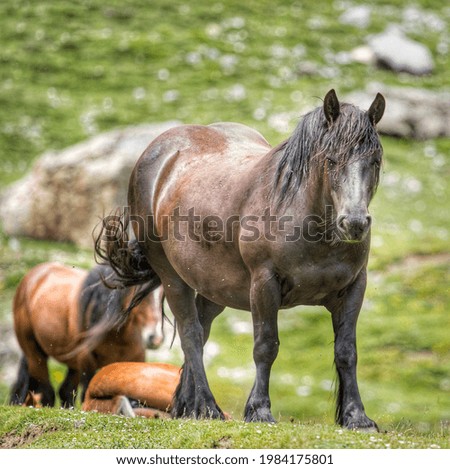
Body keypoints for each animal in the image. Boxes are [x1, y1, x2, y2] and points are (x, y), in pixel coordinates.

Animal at [9, 262, 164, 408]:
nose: (155, 338)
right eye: (141, 293)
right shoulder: (86, 359)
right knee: (48, 392)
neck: (118, 335)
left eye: (163, 297)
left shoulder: (135, 361)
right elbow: (86, 394)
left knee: (65, 390)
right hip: (35, 356)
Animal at [96, 89, 384, 430]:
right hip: (173, 278)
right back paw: (208, 407)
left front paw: (357, 416)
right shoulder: (264, 284)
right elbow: (265, 346)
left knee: (202, 331)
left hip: (214, 288)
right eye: (331, 160)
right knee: (191, 335)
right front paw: (259, 410)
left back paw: (189, 406)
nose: (354, 223)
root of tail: (157, 152)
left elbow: (346, 351)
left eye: (375, 160)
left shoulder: (353, 288)